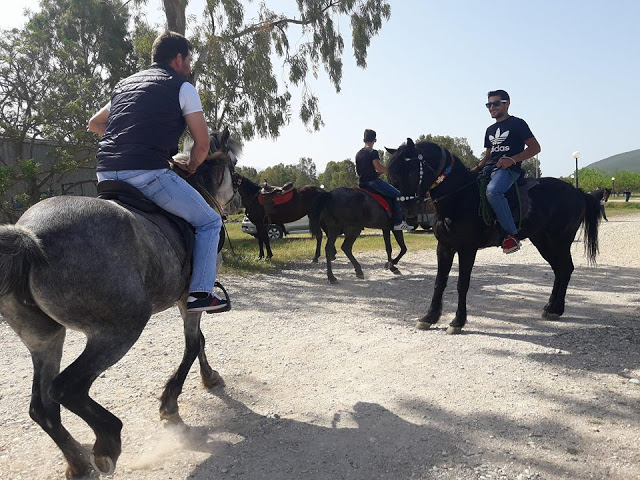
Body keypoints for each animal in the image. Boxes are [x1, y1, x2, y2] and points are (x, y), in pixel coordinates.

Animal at [0, 129, 238, 478]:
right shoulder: (189, 299)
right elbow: (193, 345)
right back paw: (106, 442)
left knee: (42, 406)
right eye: (233, 165)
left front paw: (209, 378)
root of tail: (30, 236)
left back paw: (78, 461)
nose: (240, 198)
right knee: (67, 388)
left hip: (44, 338)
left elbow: (199, 342)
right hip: (120, 329)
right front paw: (170, 404)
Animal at [388, 139, 604, 334]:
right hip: (542, 241)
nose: (407, 210)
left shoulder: (467, 249)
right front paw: (429, 317)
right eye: (391, 175)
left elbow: (462, 284)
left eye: (410, 170)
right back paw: (551, 307)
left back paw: (556, 309)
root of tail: (578, 191)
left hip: (559, 241)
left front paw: (458, 321)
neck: (459, 198)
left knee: (565, 268)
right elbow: (439, 283)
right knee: (559, 269)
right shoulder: (444, 247)